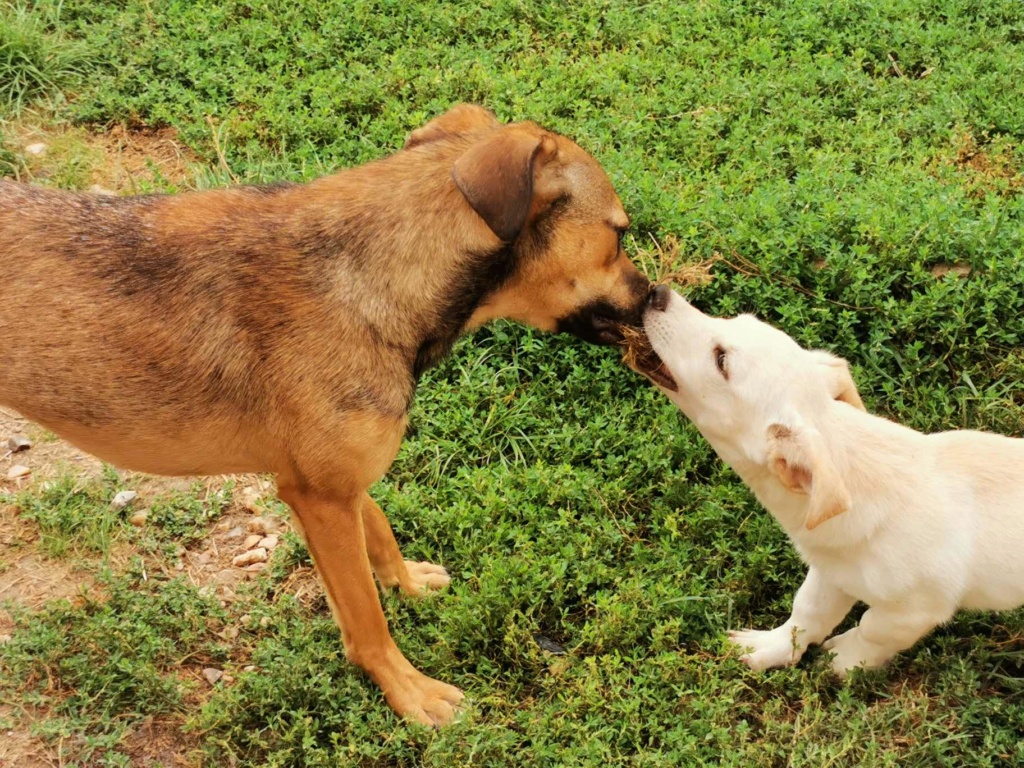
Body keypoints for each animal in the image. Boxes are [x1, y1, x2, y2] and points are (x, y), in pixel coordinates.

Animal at [0, 103, 651, 729]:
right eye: (619, 235)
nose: (654, 299)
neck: (373, 278)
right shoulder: (320, 497)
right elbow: (366, 618)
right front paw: (409, 692)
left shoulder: (338, 483)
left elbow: (379, 529)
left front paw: (405, 583)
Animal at [643, 286, 1024, 671]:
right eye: (736, 319)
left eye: (721, 360)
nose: (656, 292)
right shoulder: (832, 571)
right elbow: (808, 612)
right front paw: (771, 648)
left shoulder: (914, 610)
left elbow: (872, 630)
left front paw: (844, 663)